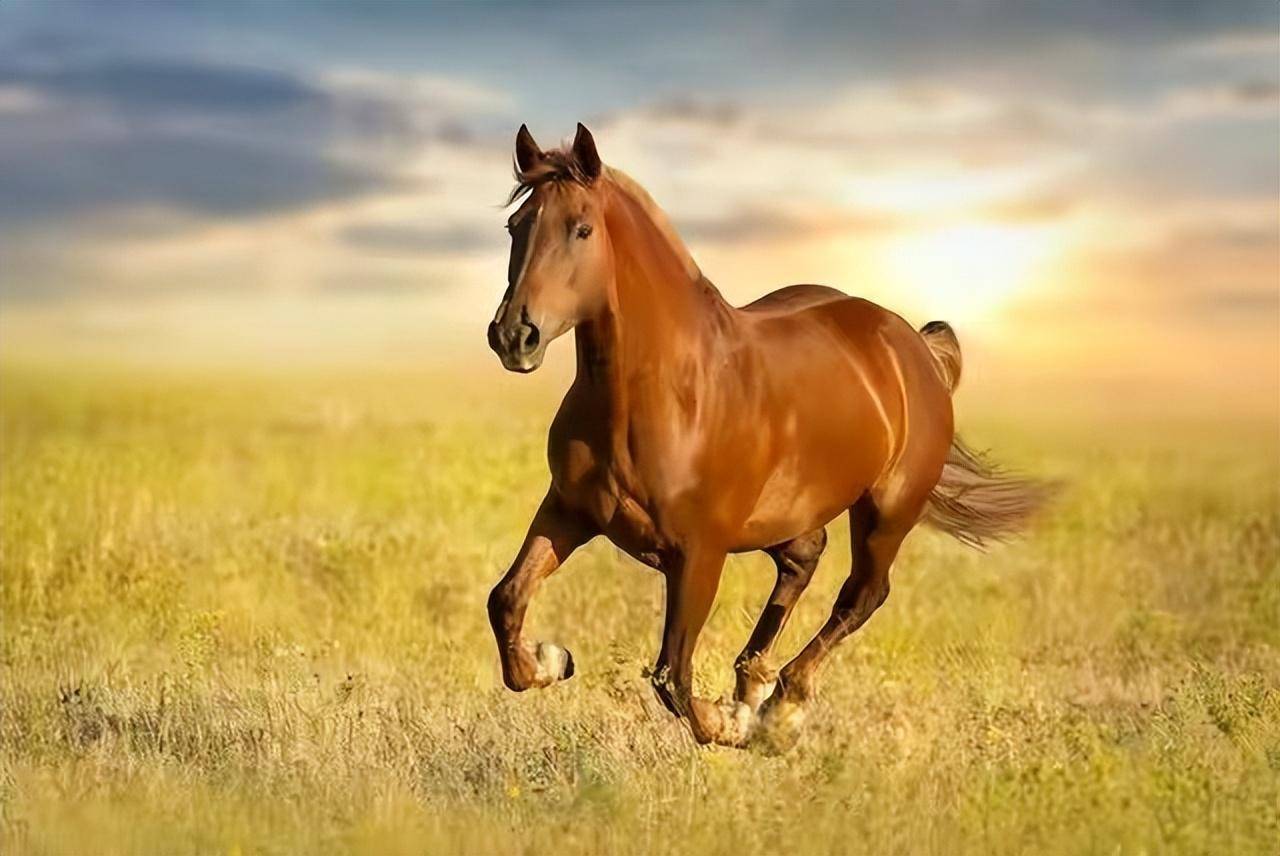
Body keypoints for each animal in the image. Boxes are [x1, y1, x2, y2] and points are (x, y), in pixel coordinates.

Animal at [485, 123, 1050, 747]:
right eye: (516, 226)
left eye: (581, 228)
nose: (514, 336)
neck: (665, 393)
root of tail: (915, 347)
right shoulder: (569, 510)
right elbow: (506, 599)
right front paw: (552, 660)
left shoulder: (699, 553)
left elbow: (672, 676)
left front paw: (732, 723)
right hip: (787, 514)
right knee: (805, 558)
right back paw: (754, 680)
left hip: (885, 512)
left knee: (862, 595)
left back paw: (782, 705)